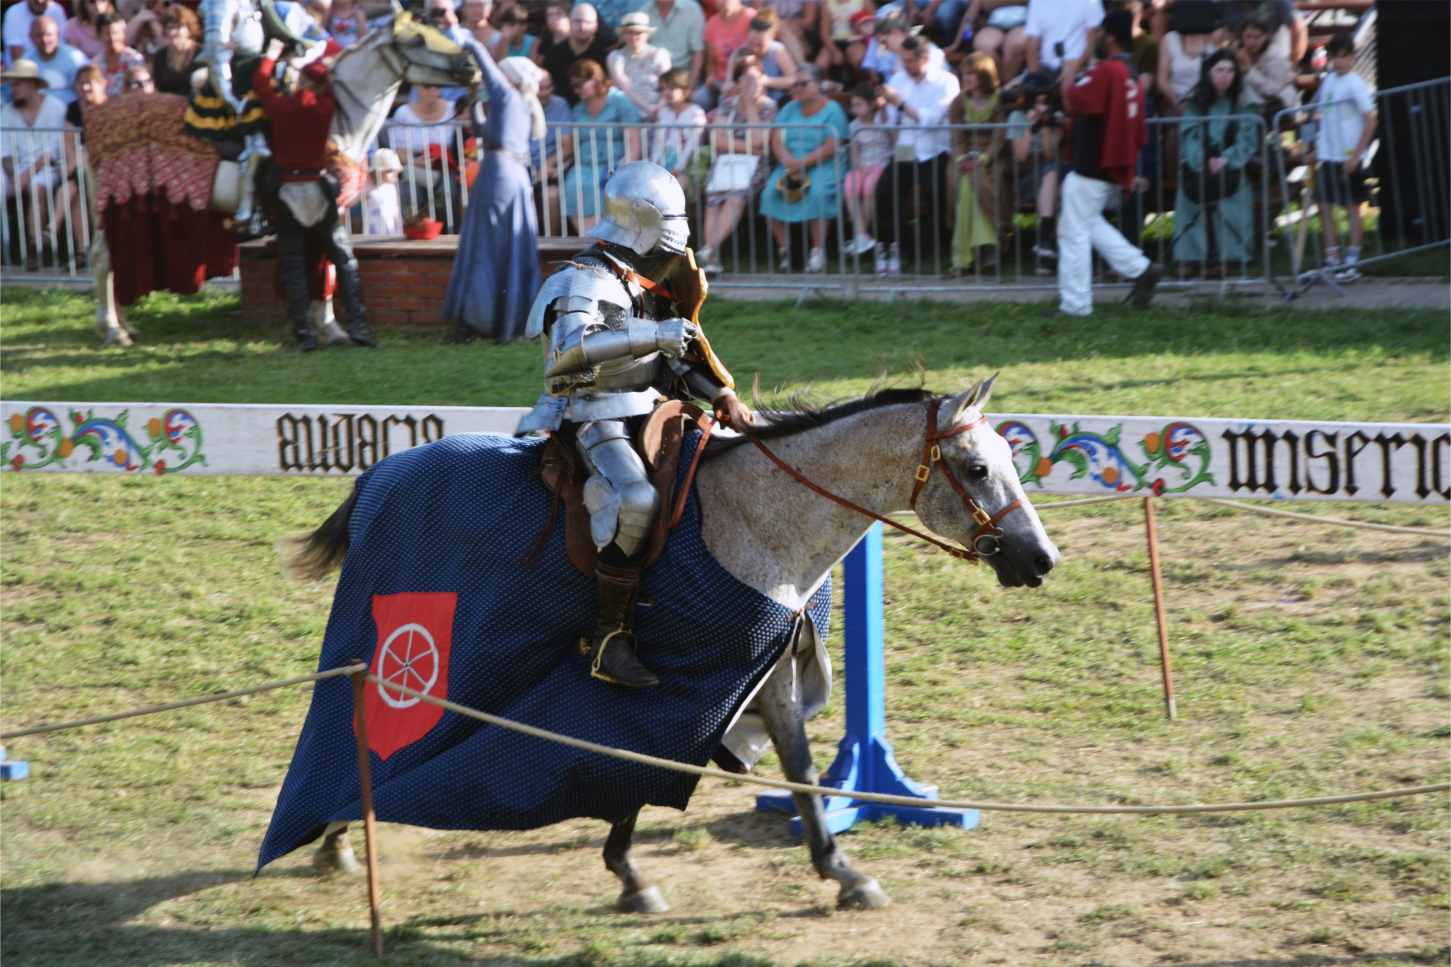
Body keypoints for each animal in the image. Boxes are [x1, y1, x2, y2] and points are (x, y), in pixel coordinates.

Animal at [300, 377, 1062, 911]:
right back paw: (335, 830)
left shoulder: (767, 668)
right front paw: (629, 872)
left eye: (1006, 458)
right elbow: (639, 760)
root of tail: (377, 474)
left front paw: (841, 870)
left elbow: (799, 766)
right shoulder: (679, 682)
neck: (761, 518)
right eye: (974, 468)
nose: (1040, 558)